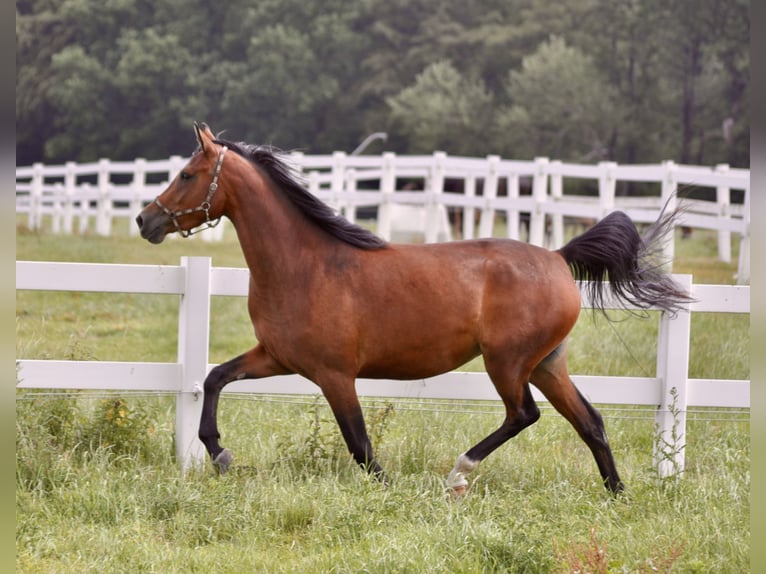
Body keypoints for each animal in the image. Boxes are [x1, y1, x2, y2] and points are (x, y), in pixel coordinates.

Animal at [135, 125, 692, 496]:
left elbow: (359, 443)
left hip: (508, 362)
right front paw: (220, 454)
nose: (145, 220)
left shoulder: (334, 374)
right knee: (590, 421)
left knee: (524, 414)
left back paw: (459, 473)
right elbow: (214, 378)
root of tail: (557, 257)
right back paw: (617, 494)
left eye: (187, 174)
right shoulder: (276, 356)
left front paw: (388, 487)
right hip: (547, 363)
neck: (306, 264)